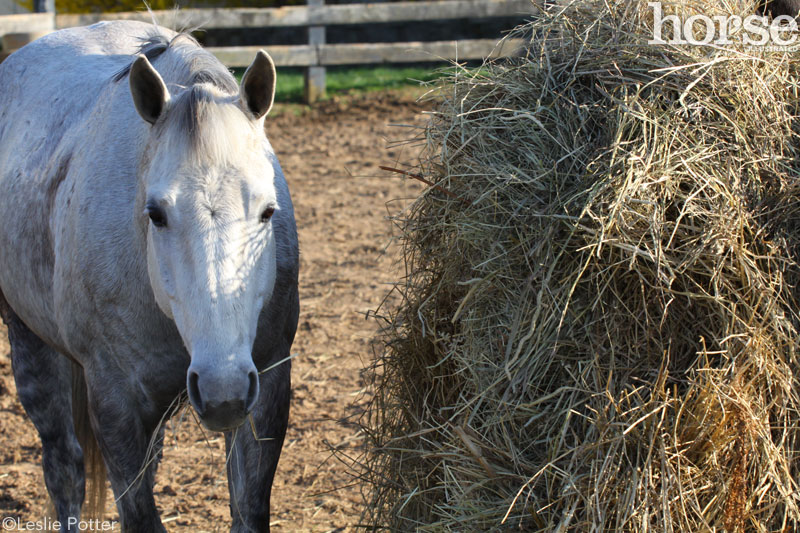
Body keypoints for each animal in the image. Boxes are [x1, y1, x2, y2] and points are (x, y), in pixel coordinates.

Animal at [0, 18, 298, 528]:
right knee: (64, 470)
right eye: (156, 214)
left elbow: (248, 510)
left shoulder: (267, 386)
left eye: (267, 210)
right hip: (30, 343)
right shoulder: (114, 405)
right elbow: (137, 514)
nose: (222, 391)